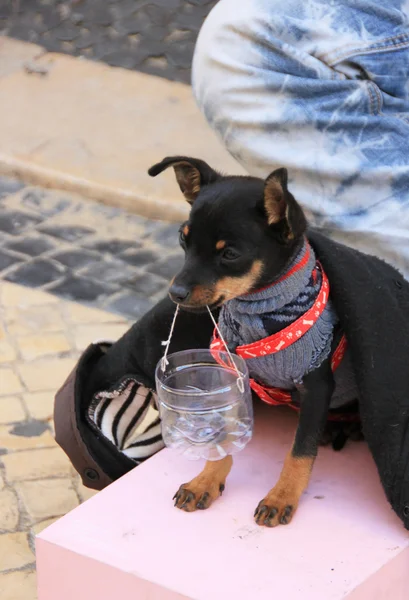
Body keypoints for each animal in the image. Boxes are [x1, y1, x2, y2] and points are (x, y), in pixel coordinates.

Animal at [148, 157, 358, 528]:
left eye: (230, 254)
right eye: (182, 240)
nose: (175, 293)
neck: (263, 310)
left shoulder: (317, 384)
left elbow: (300, 452)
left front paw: (281, 497)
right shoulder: (233, 378)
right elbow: (225, 436)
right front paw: (206, 480)